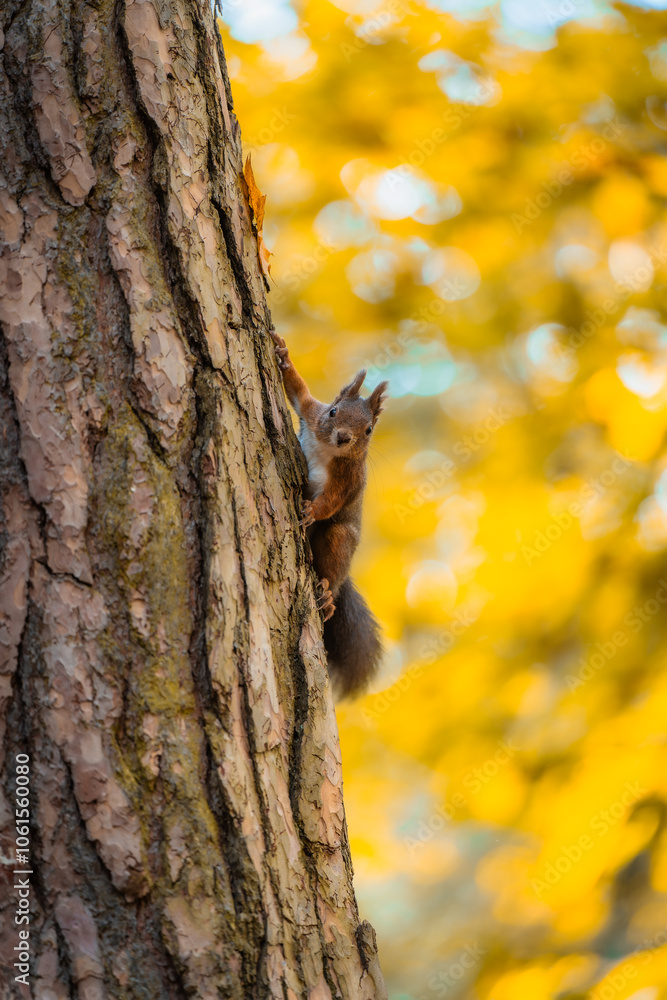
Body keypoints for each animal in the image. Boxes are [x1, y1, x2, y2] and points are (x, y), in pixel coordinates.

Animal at [271, 330, 389, 698]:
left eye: (368, 430)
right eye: (334, 411)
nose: (343, 438)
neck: (327, 449)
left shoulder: (350, 478)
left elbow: (333, 501)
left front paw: (311, 510)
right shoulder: (312, 414)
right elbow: (299, 393)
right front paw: (283, 355)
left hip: (339, 540)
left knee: (333, 570)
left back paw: (326, 594)